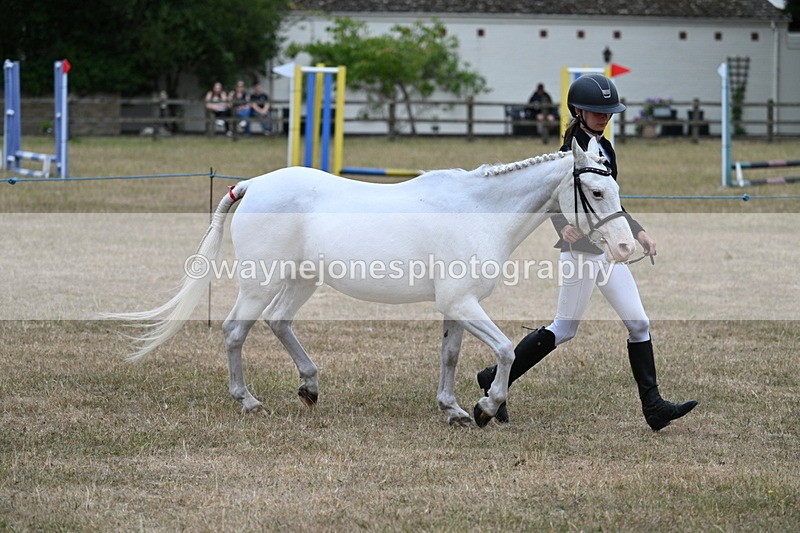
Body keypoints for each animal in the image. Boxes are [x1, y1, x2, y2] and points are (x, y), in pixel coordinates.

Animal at [107, 138, 635, 427]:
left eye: (614, 184)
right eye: (595, 190)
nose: (627, 247)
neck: (478, 211)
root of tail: (252, 184)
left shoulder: (456, 306)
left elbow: (450, 356)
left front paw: (453, 410)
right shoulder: (463, 303)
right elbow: (505, 351)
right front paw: (486, 407)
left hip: (302, 280)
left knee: (279, 323)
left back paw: (310, 386)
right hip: (260, 282)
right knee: (236, 331)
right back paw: (249, 401)